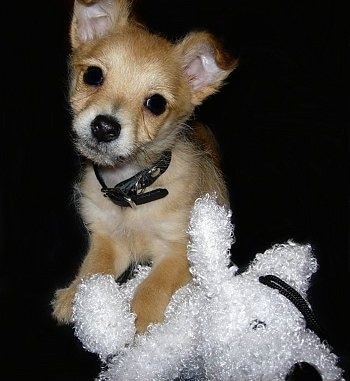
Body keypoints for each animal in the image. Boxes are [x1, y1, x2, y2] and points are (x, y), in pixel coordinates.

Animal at [51, 0, 238, 332]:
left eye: (156, 104)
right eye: (93, 76)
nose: (104, 127)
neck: (132, 188)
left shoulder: (180, 250)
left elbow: (152, 286)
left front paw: (140, 325)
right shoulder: (107, 237)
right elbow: (93, 271)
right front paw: (75, 297)